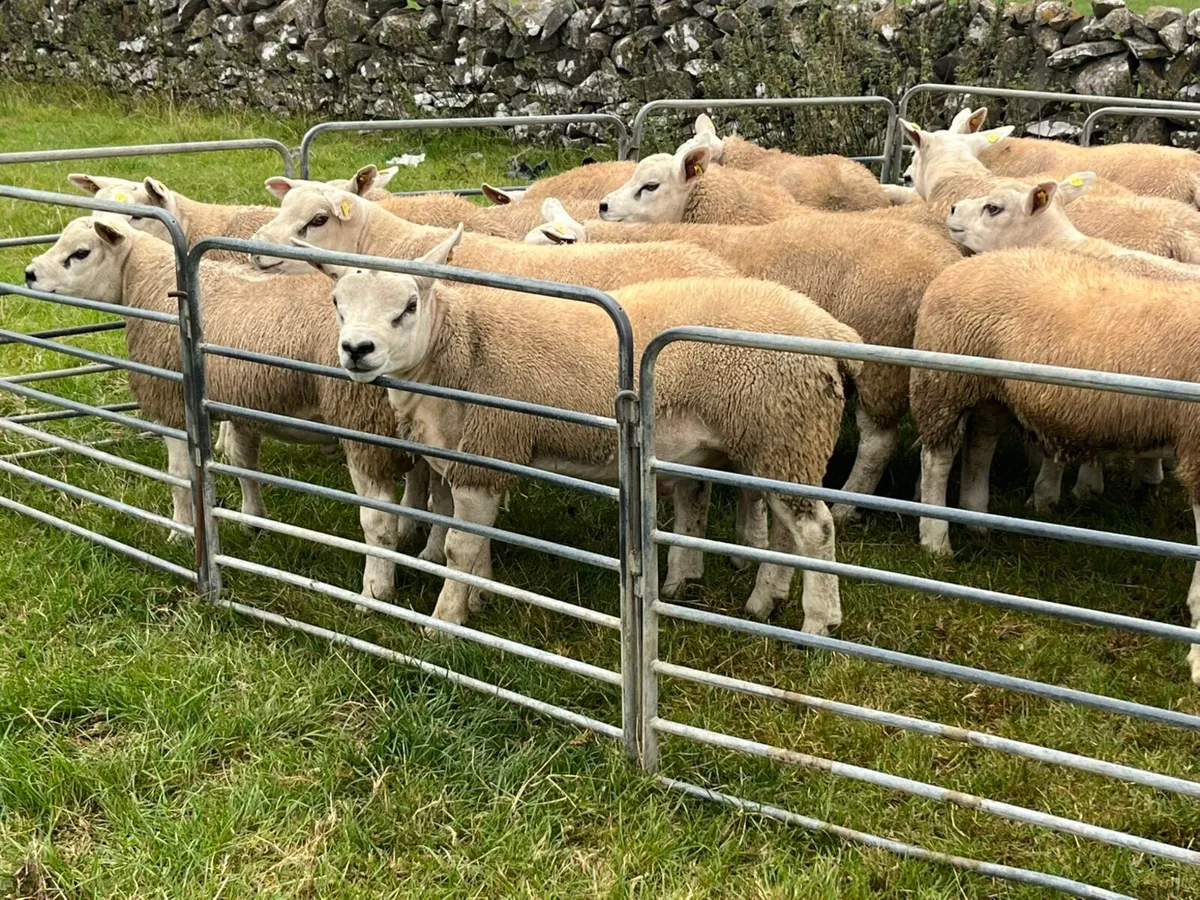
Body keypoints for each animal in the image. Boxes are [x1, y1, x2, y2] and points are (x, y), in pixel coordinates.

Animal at [23, 216, 440, 602]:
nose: (28, 274)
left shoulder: (174, 403)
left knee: (379, 520)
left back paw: (376, 591)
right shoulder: (242, 402)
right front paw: (253, 520)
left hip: (361, 423)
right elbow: (243, 463)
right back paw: (423, 546)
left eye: (81, 253)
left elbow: (179, 477)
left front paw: (180, 532)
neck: (150, 283)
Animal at [317, 225, 863, 632]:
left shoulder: (489, 447)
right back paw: (764, 600)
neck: (462, 346)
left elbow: (459, 547)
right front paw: (478, 600)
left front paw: (445, 621)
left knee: (815, 530)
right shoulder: (468, 457)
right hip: (778, 441)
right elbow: (470, 540)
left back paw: (819, 621)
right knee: (788, 527)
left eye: (409, 305)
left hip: (783, 430)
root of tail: (825, 327)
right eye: (337, 303)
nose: (357, 349)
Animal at [909, 247, 1200, 683]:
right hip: (945, 381)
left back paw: (977, 518)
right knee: (938, 459)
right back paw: (936, 540)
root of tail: (965, 264)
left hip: (993, 390)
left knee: (981, 446)